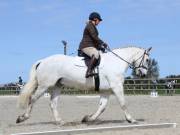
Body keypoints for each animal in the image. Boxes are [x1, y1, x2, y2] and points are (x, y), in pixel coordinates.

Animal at [16, 46, 152, 124]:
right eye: (147, 60)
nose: (143, 74)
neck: (116, 62)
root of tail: (43, 60)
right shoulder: (116, 86)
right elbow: (123, 103)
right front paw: (131, 119)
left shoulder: (106, 91)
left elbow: (102, 107)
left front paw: (87, 118)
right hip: (44, 86)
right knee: (32, 99)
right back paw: (22, 118)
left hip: (56, 86)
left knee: (53, 104)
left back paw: (60, 121)